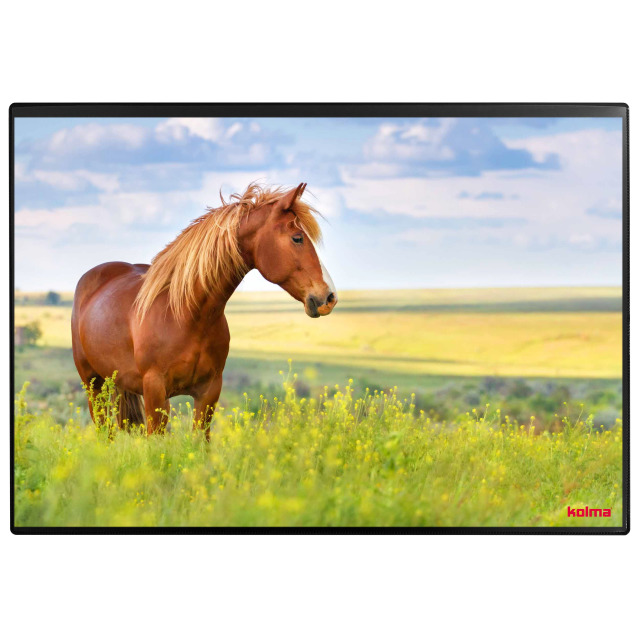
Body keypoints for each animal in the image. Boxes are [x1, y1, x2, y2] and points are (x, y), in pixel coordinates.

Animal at [71, 182, 337, 435]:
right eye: (297, 237)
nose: (329, 297)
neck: (186, 315)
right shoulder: (155, 392)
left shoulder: (208, 392)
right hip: (93, 386)